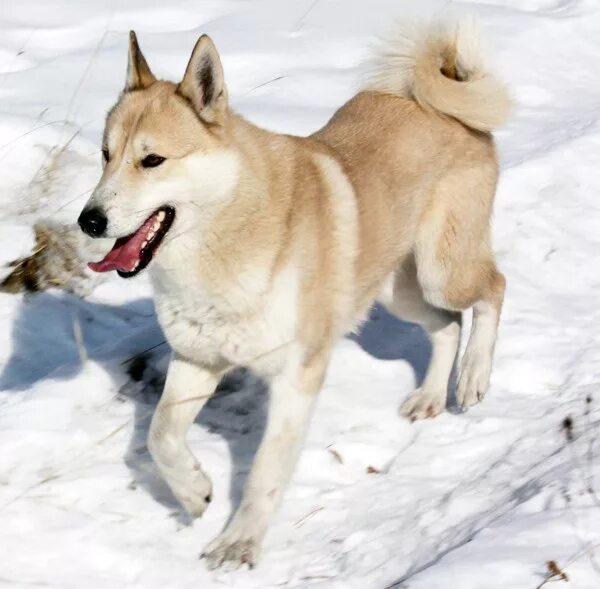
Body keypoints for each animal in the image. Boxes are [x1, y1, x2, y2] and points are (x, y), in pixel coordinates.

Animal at [77, 20, 510, 568]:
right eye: (105, 155)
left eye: (152, 160)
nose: (88, 221)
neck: (227, 231)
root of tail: (444, 95)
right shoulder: (197, 360)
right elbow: (161, 435)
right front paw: (194, 492)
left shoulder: (295, 377)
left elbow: (264, 470)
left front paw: (238, 543)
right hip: (398, 292)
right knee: (447, 325)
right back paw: (430, 397)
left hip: (442, 269)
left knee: (493, 289)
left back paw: (473, 378)